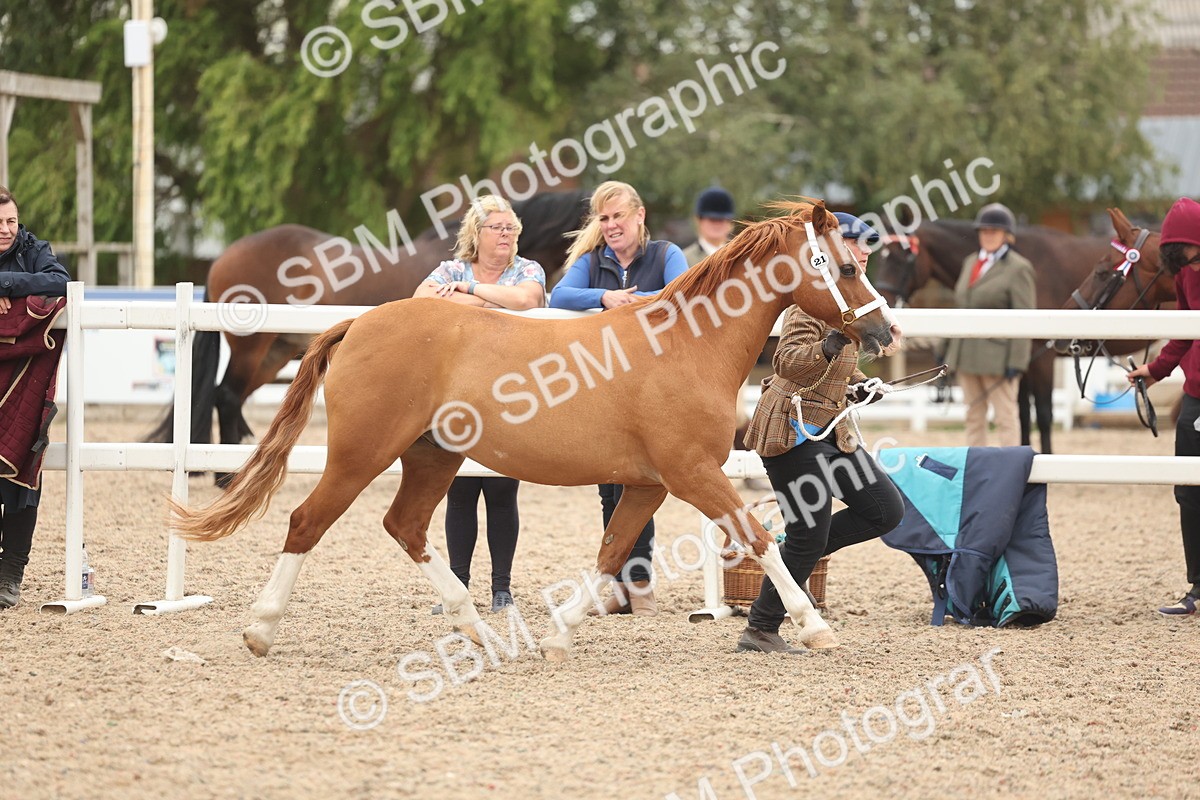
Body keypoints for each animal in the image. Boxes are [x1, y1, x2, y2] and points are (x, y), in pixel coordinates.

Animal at [874, 219, 1113, 452]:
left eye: (904, 257)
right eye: (881, 256)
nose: (882, 311)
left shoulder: (1043, 359)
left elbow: (1044, 416)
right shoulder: (1022, 365)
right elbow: (1023, 415)